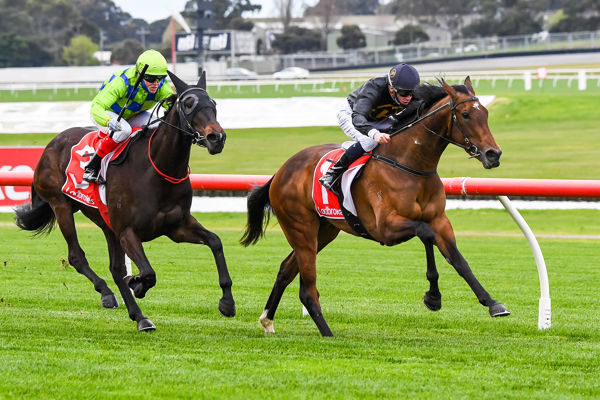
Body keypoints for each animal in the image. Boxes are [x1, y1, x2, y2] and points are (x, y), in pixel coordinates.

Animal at [14, 71, 234, 332]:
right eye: (189, 104)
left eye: (214, 103)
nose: (216, 137)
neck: (157, 170)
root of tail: (51, 144)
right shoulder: (128, 231)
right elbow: (148, 273)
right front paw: (137, 283)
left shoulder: (176, 227)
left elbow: (215, 241)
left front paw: (227, 302)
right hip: (62, 206)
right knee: (77, 257)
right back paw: (108, 294)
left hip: (107, 224)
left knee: (116, 269)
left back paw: (139, 317)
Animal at [241, 76, 508, 336]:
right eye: (465, 114)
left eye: (485, 112)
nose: (493, 154)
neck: (410, 165)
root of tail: (279, 172)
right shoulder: (386, 228)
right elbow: (426, 233)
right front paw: (433, 296)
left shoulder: (439, 219)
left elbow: (457, 259)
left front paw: (493, 304)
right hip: (301, 229)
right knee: (307, 289)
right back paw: (328, 334)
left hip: (323, 231)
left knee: (286, 270)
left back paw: (267, 320)